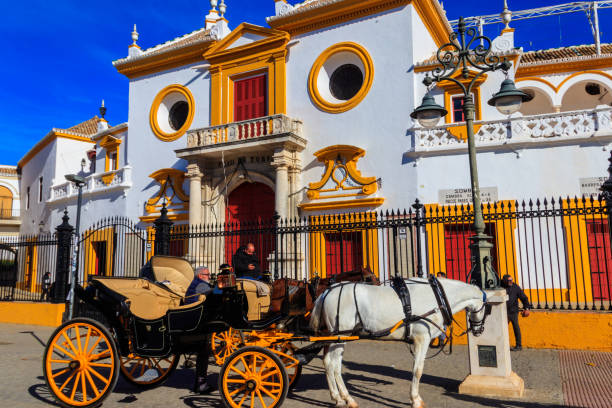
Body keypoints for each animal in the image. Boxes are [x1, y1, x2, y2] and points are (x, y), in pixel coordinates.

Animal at [310, 278, 488, 408]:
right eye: (487, 309)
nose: (479, 330)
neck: (437, 298)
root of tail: (327, 291)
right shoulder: (422, 339)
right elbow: (418, 370)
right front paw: (415, 399)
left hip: (334, 337)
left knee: (329, 363)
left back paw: (339, 398)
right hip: (341, 336)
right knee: (334, 365)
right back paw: (346, 398)